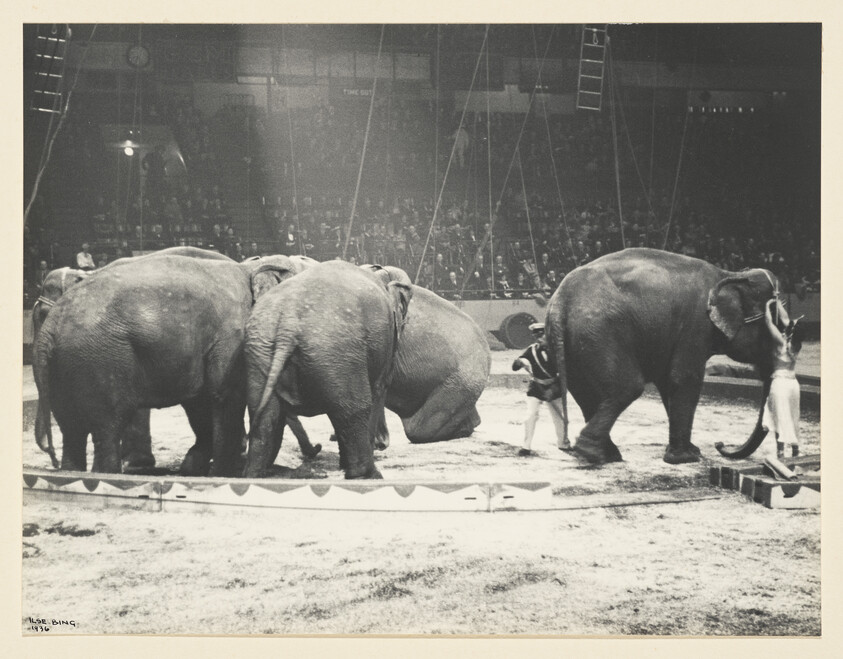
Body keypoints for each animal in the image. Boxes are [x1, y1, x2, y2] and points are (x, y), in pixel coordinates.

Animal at [33, 251, 311, 476]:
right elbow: (225, 394)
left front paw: (193, 466)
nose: (315, 449)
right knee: (107, 427)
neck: (251, 267)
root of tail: (51, 328)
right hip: (101, 359)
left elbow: (200, 401)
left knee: (71, 429)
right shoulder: (232, 336)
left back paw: (73, 473)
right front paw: (222, 472)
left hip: (65, 367)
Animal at [243, 260, 413, 479]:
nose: (383, 444)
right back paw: (368, 476)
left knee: (264, 415)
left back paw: (254, 474)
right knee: (354, 410)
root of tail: (288, 325)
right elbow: (379, 389)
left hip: (261, 350)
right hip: (336, 350)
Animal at [544, 248, 780, 466]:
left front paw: (691, 451)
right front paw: (686, 458)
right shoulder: (696, 325)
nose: (720, 444)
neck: (729, 274)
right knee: (627, 387)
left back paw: (605, 453)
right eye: (777, 328)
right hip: (599, 332)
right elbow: (684, 378)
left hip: (573, 344)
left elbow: (668, 382)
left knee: (585, 392)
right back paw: (593, 453)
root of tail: (560, 301)